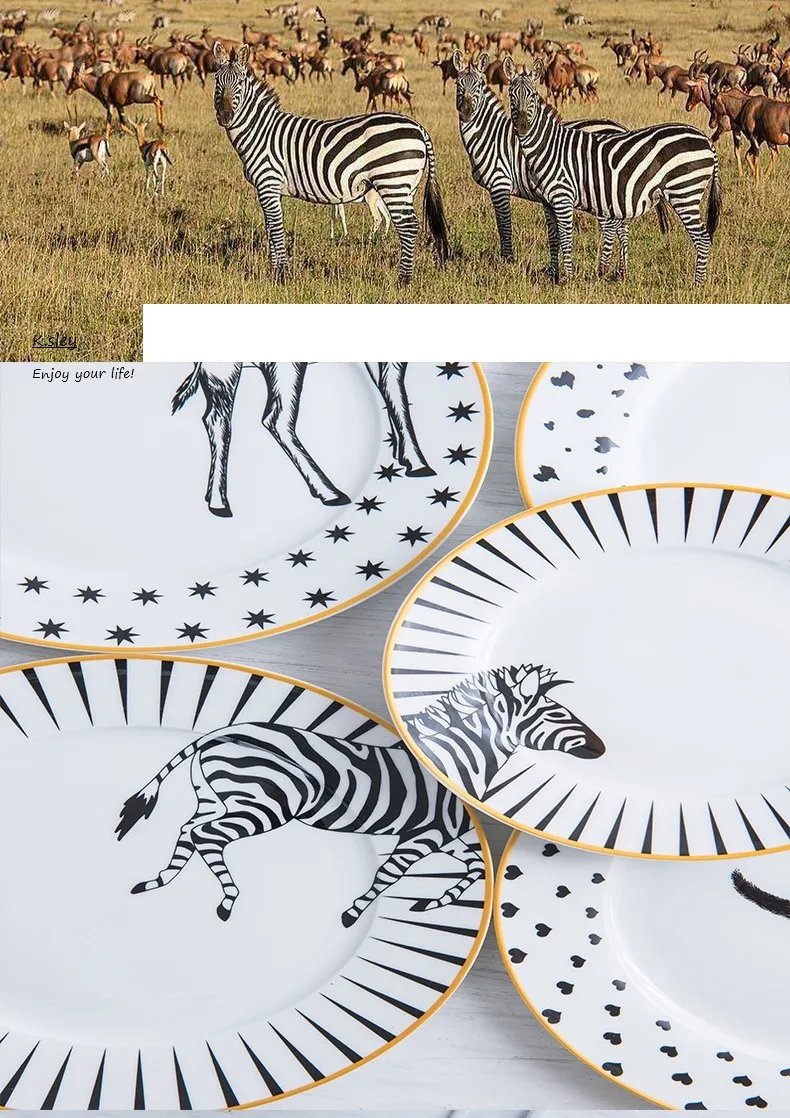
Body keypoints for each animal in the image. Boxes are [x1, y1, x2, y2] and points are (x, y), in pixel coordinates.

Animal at [116, 720, 485, 924]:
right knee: (205, 835)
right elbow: (389, 874)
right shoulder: (426, 834)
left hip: (213, 797)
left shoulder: (440, 836)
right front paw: (352, 915)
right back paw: (227, 900)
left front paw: (432, 903)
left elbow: (477, 866)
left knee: (188, 831)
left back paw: (160, 881)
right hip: (265, 802)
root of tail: (225, 731)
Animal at [171, 361, 435, 517]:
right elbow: (392, 390)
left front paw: (410, 458)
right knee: (267, 418)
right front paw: (414, 460)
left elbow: (391, 391)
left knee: (217, 417)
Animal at [212, 41, 450, 285]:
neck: (260, 131)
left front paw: (281, 276)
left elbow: (276, 229)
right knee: (409, 225)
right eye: (217, 81)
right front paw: (277, 272)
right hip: (406, 187)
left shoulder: (268, 183)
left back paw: (403, 280)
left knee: (408, 227)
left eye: (241, 82)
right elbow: (271, 229)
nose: (225, 116)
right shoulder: (270, 189)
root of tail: (419, 127)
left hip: (393, 182)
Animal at [452, 51, 671, 276]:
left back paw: (606, 269)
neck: (490, 135)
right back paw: (621, 270)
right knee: (622, 225)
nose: (466, 112)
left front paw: (507, 262)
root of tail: (620, 128)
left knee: (613, 225)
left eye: (479, 85)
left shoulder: (500, 184)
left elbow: (504, 226)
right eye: (458, 84)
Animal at [502, 56, 722, 284]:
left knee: (703, 239)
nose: (523, 126)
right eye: (511, 95)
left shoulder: (563, 197)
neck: (550, 146)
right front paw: (555, 276)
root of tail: (706, 141)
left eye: (533, 96)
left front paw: (567, 279)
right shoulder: (550, 201)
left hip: (685, 191)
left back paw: (697, 284)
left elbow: (565, 238)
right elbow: (554, 236)